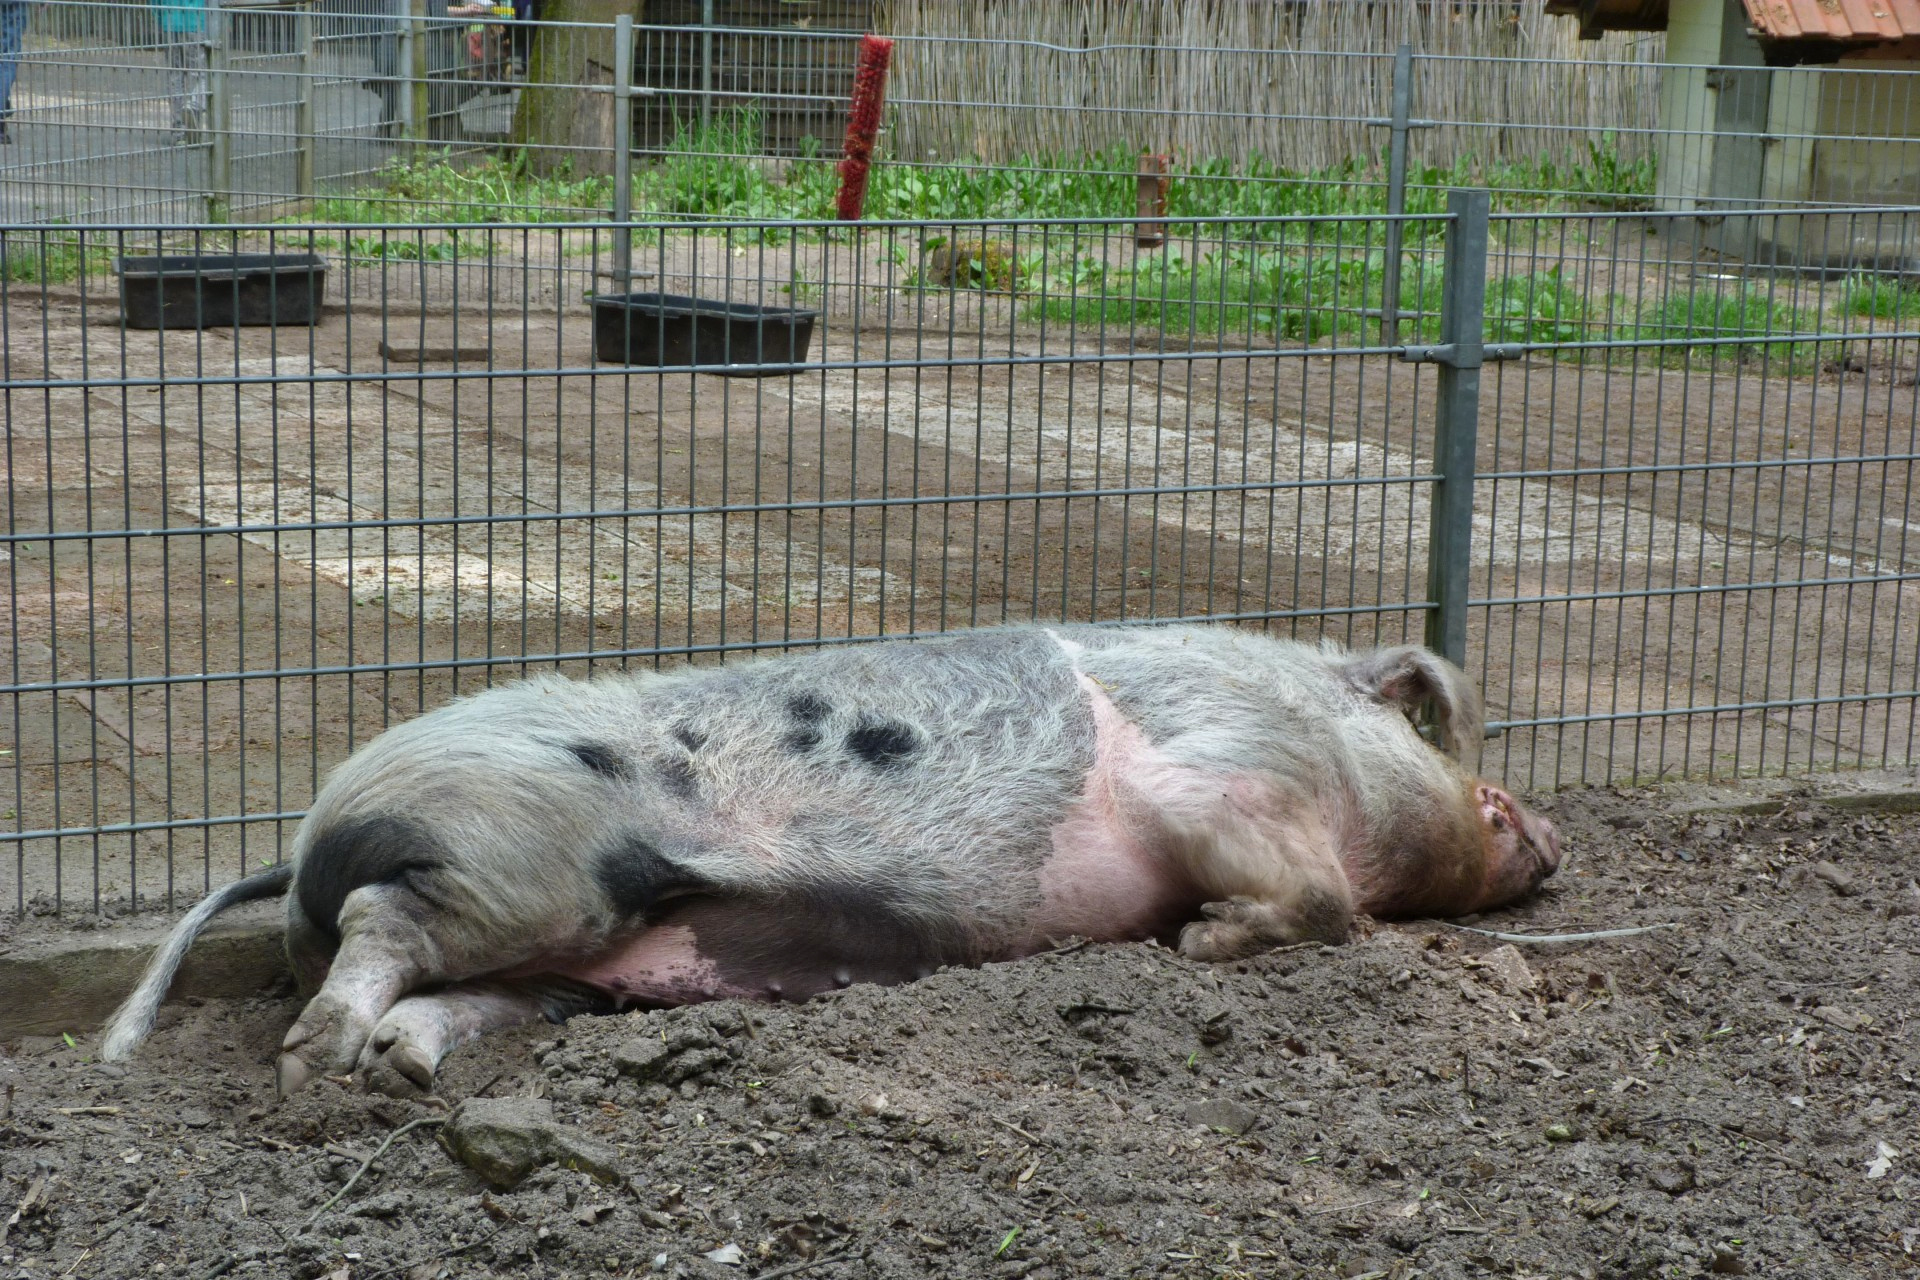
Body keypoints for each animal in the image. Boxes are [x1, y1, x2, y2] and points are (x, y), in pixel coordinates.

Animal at [99, 623, 1560, 1096]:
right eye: (1465, 768)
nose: (1550, 836)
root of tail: (305, 836)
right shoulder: (1221, 771)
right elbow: (1322, 902)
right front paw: (1198, 942)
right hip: (527, 864)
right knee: (383, 925)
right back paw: (319, 1061)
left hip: (580, 943)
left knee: (458, 990)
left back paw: (397, 1064)